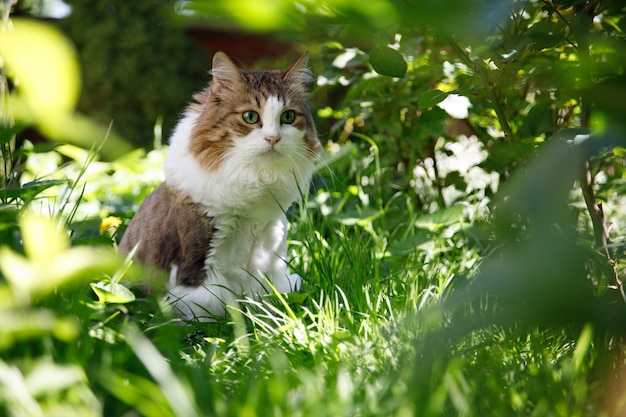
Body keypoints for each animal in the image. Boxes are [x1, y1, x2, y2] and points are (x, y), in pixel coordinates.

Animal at [119, 51, 320, 318]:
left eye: (288, 116)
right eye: (250, 116)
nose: (273, 138)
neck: (255, 179)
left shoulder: (271, 242)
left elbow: (272, 292)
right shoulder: (197, 262)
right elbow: (213, 302)